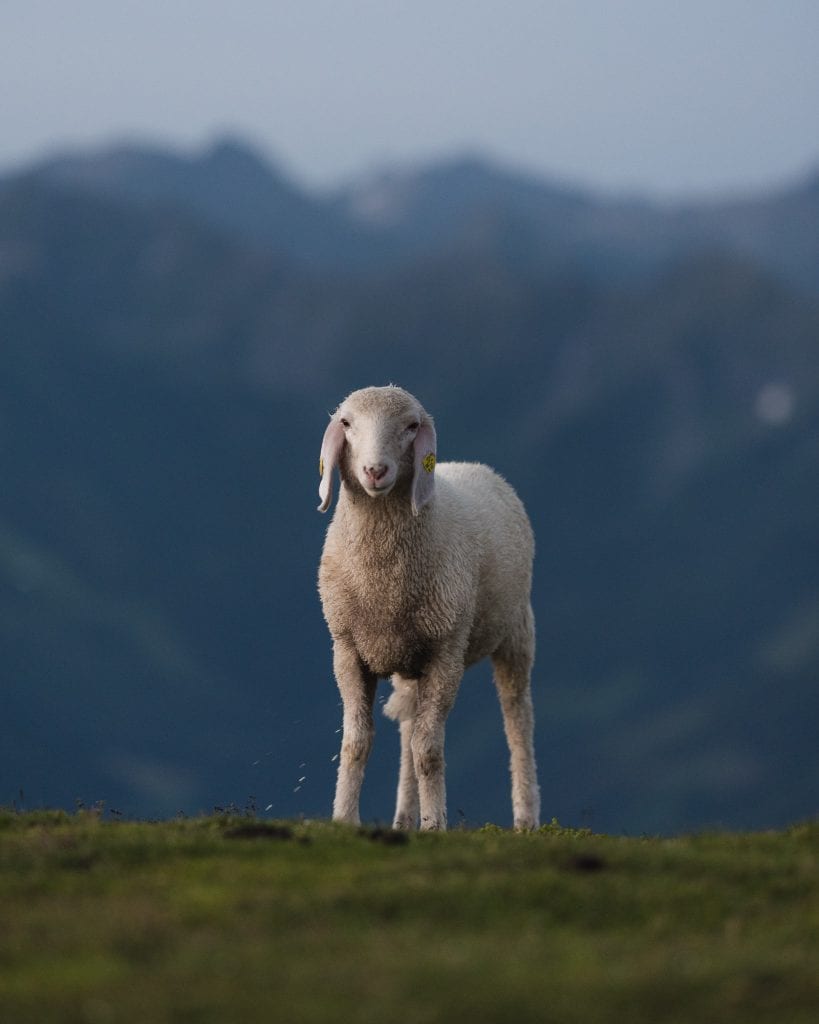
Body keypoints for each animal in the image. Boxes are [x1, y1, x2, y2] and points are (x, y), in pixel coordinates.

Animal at [317, 385, 540, 831]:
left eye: (411, 426)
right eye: (346, 423)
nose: (375, 470)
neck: (382, 579)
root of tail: (475, 466)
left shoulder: (445, 654)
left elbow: (429, 750)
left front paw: (435, 824)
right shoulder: (347, 651)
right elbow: (356, 742)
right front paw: (345, 820)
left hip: (515, 631)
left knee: (517, 718)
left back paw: (526, 818)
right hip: (408, 656)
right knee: (408, 725)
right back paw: (404, 817)